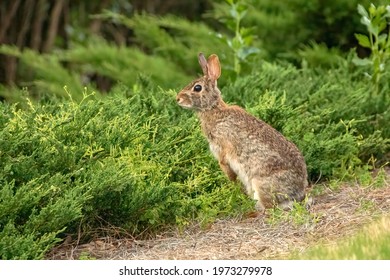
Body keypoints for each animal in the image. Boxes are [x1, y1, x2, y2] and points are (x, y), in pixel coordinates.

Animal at [175, 52, 310, 210]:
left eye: (197, 88)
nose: (177, 99)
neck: (213, 109)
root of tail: (298, 191)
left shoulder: (223, 150)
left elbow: (228, 169)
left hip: (260, 183)